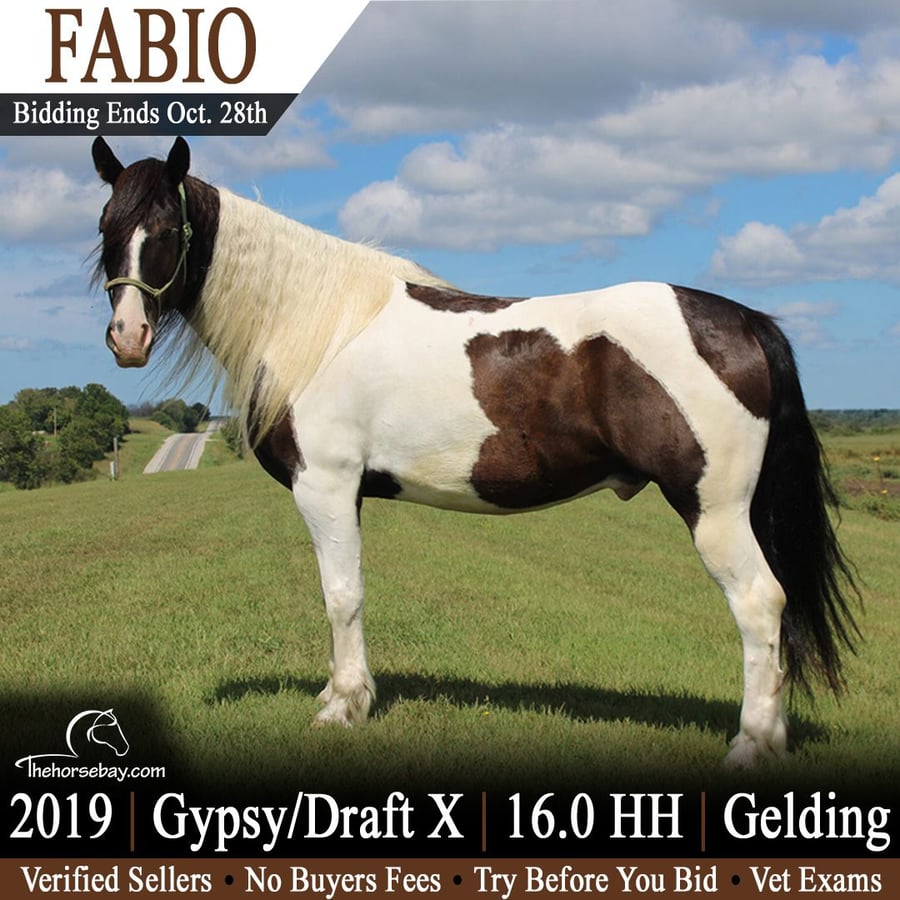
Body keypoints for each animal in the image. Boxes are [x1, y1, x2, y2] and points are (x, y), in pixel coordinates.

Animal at [90, 136, 860, 769]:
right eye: (106, 228)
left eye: (166, 230)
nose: (127, 337)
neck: (316, 325)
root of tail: (746, 322)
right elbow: (350, 592)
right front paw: (345, 696)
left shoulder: (326, 487)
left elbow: (341, 595)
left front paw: (343, 707)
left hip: (715, 510)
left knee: (760, 604)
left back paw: (749, 747)